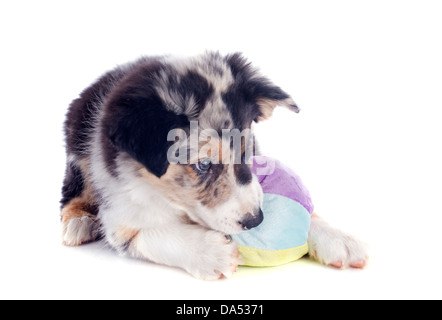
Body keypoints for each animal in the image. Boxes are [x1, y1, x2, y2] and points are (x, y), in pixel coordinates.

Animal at [60, 52, 368, 280]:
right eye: (204, 165)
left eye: (247, 150)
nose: (256, 220)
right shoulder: (119, 214)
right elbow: (150, 234)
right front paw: (212, 253)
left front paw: (338, 238)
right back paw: (78, 222)